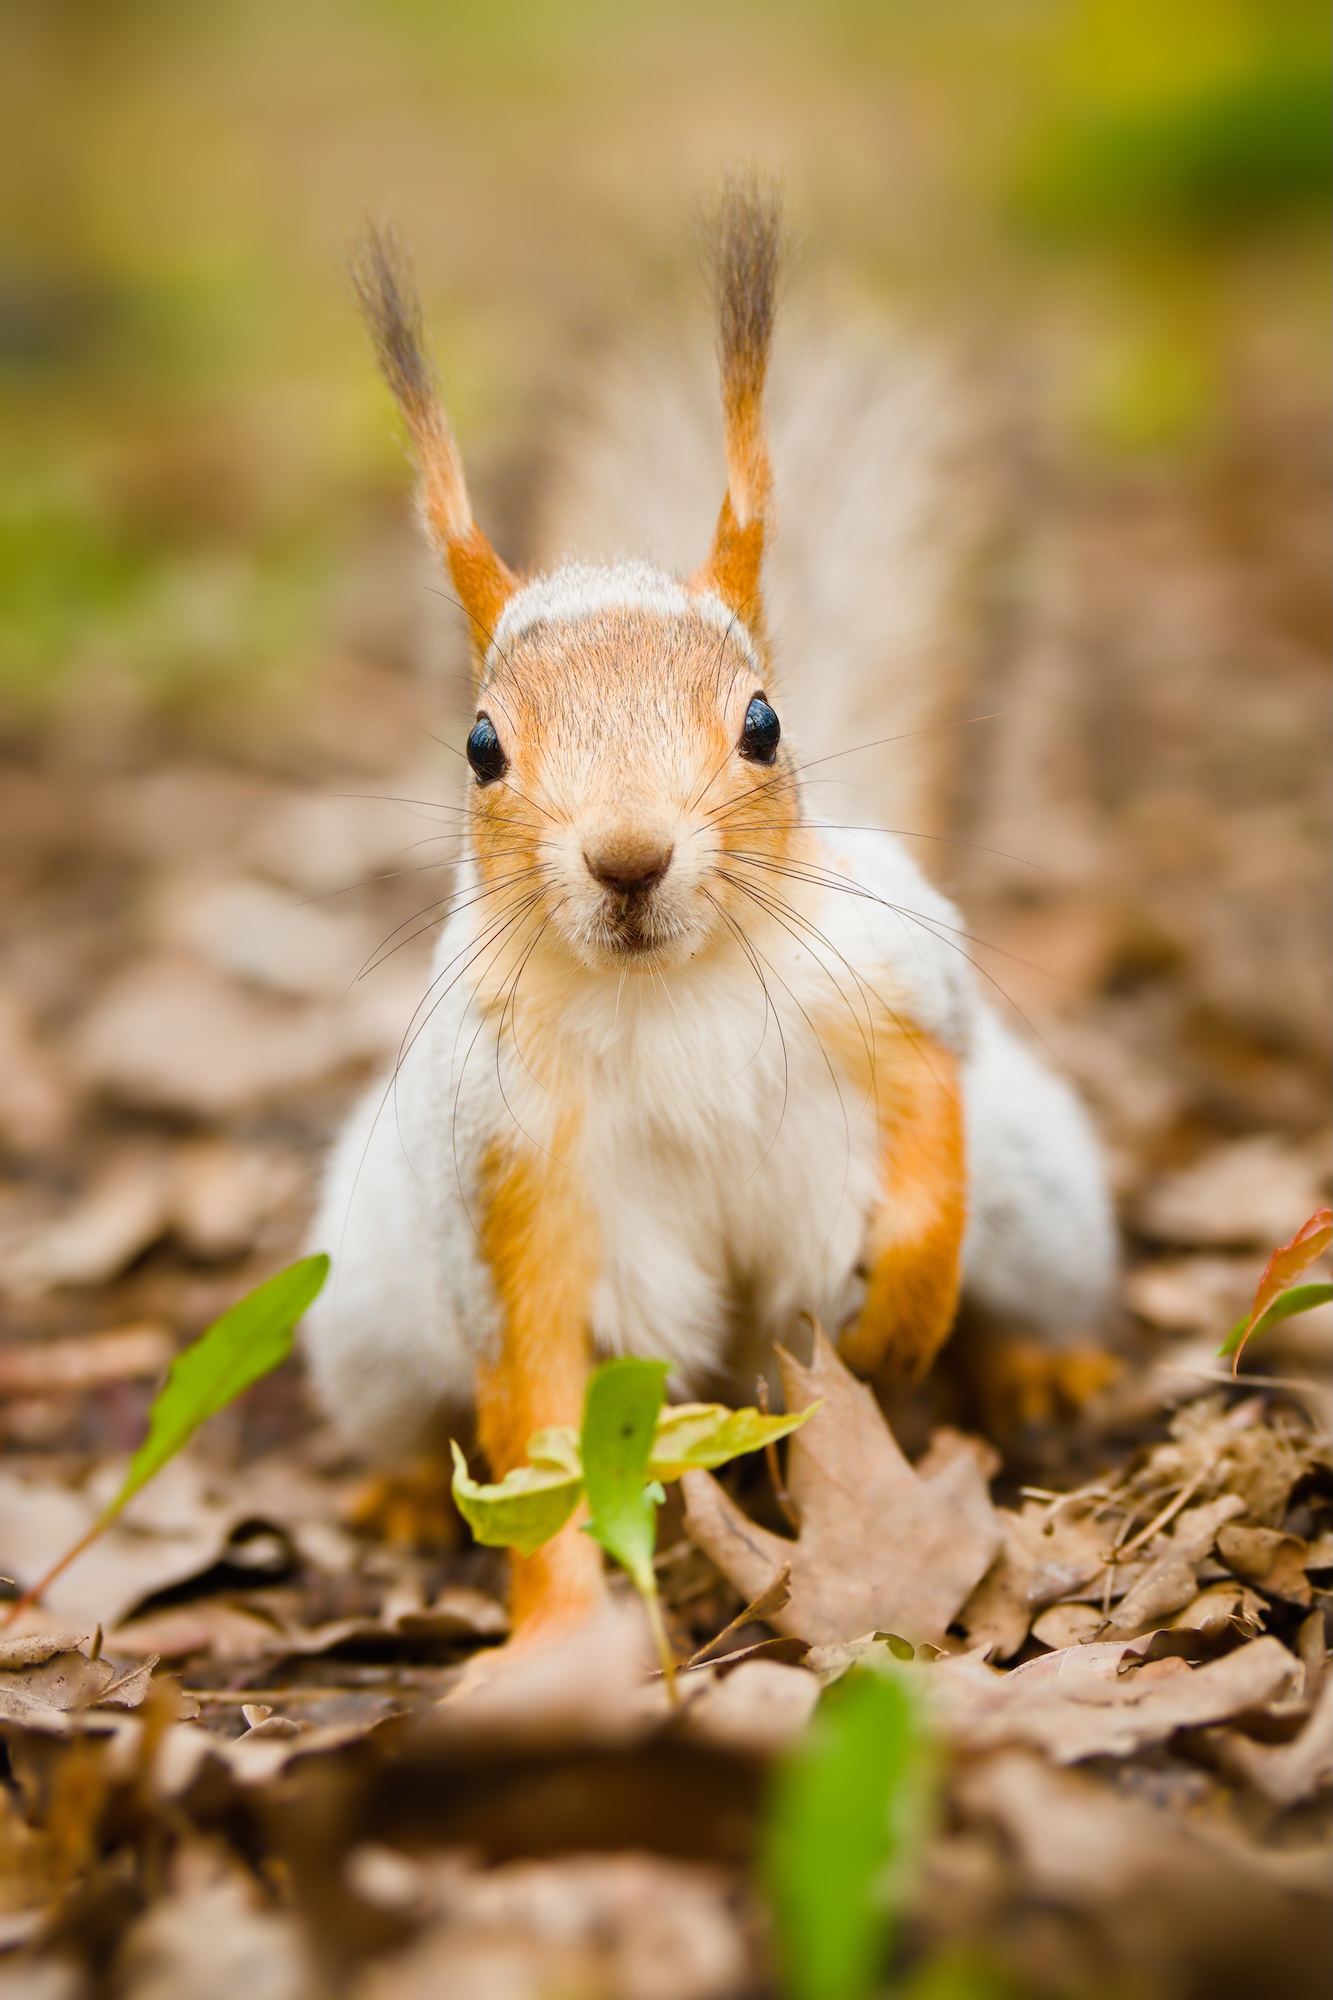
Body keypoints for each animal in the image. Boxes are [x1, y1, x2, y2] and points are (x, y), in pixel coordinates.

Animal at [304, 182, 1116, 1636]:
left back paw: (1032, 1369)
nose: (628, 858)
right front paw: (560, 1640)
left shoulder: (895, 984)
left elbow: (931, 1141)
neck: (666, 982)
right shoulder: (505, 1172)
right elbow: (538, 1425)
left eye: (762, 722)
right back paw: (399, 1493)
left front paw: (900, 1319)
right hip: (369, 1314)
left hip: (1044, 1204)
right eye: (479, 747)